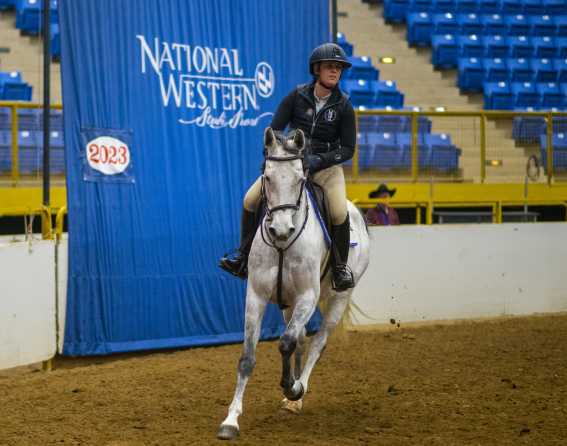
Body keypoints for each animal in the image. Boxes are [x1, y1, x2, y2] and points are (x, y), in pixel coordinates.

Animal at [217, 128, 372, 440]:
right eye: (267, 177)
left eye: (300, 179)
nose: (280, 230)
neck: (282, 245)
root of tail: (357, 213)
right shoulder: (256, 296)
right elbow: (248, 357)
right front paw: (231, 420)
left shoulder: (307, 297)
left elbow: (286, 342)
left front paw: (292, 386)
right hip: (287, 303)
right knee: (300, 339)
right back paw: (291, 399)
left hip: (338, 298)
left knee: (317, 342)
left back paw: (298, 389)